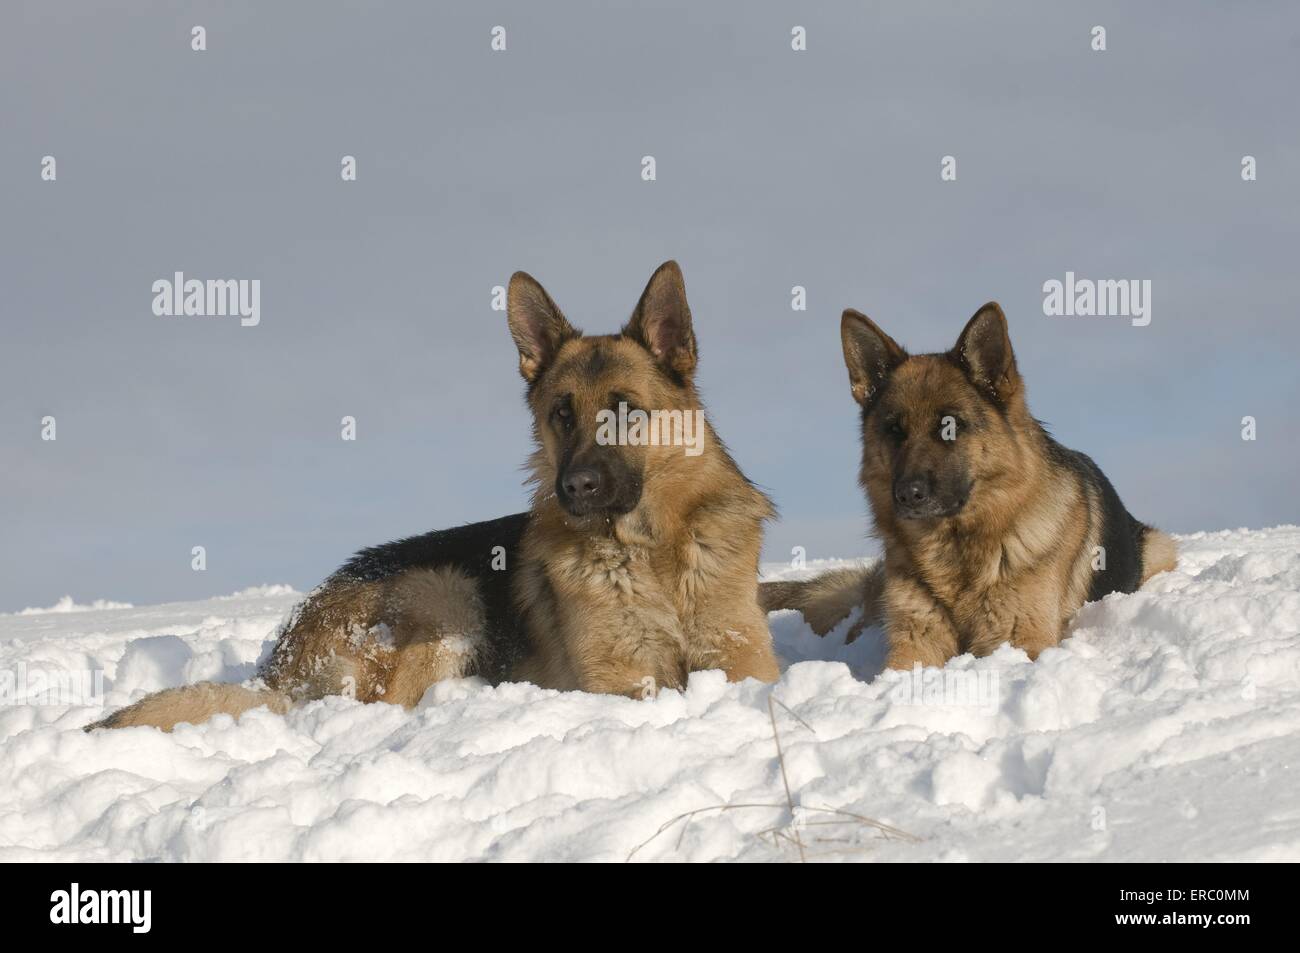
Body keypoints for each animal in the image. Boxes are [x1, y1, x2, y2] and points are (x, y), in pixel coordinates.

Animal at [96, 260, 780, 728]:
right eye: (561, 414)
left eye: (626, 412)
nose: (574, 488)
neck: (653, 554)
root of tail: (280, 665)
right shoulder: (620, 679)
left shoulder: (742, 658)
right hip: (446, 592)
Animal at [759, 304, 1180, 670]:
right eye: (894, 430)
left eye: (951, 427)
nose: (907, 495)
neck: (956, 549)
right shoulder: (915, 640)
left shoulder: (1018, 641)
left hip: (1159, 547)